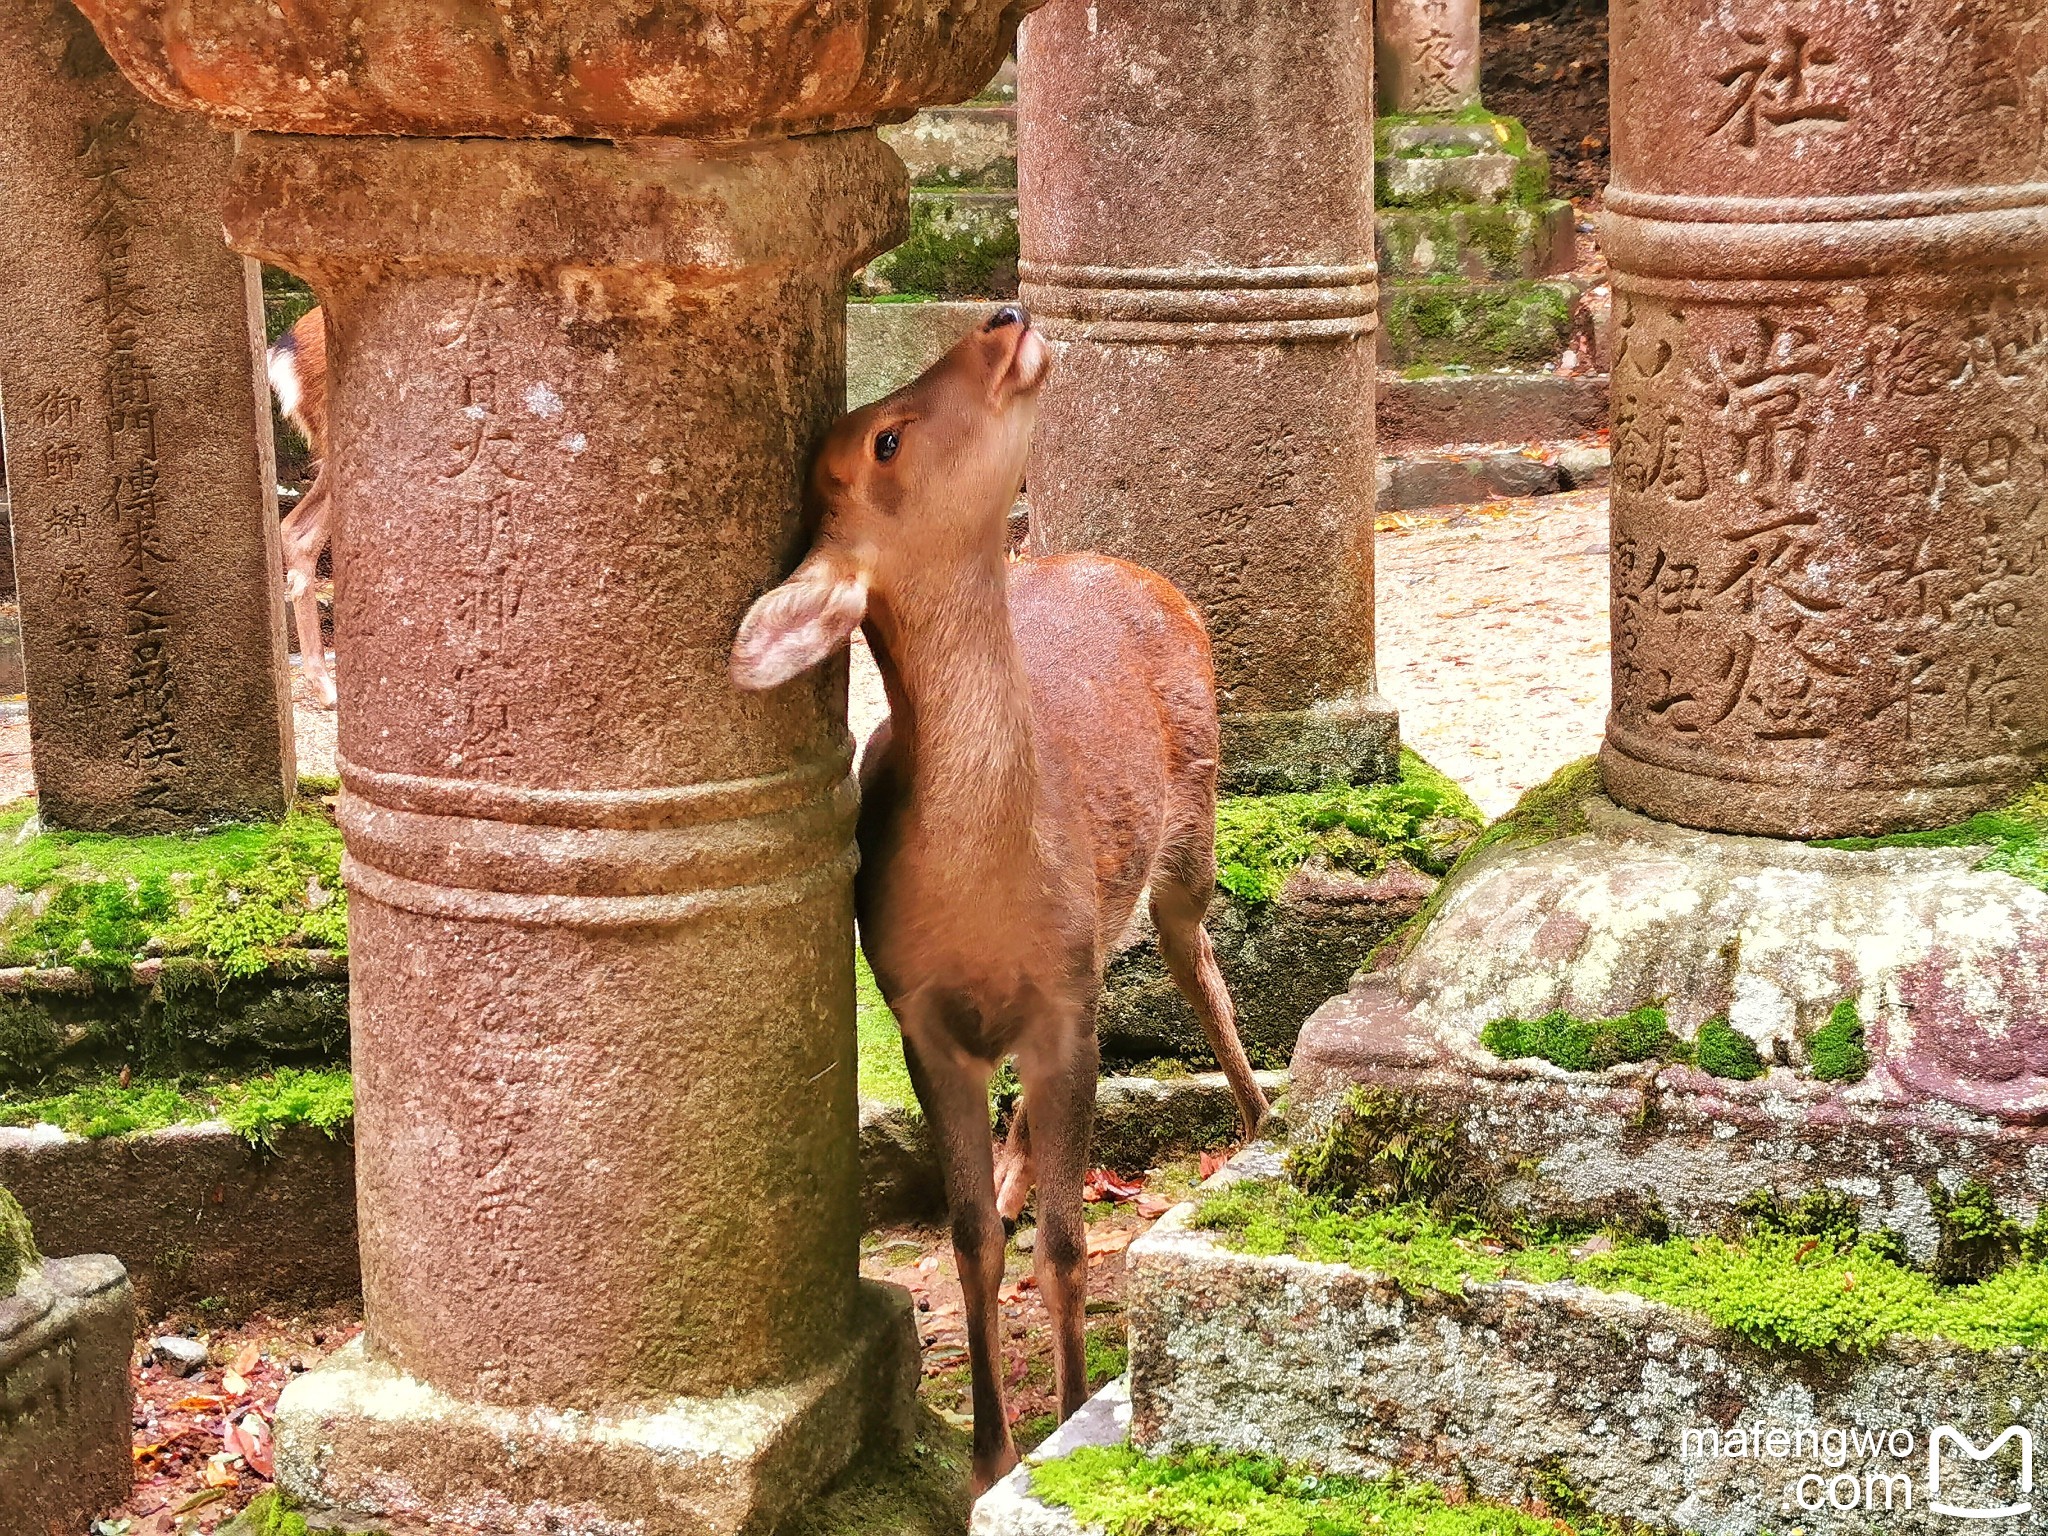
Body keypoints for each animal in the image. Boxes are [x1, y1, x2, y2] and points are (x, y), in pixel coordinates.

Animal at [720, 307, 1261, 1499]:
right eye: (882, 440)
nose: (1003, 317)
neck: (984, 899)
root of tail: (1133, 568)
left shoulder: (1066, 1005)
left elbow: (1066, 1243)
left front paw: (1066, 1414)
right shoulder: (918, 1011)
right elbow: (967, 1238)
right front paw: (983, 1455)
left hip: (1194, 824)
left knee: (1199, 962)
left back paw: (1258, 1124)